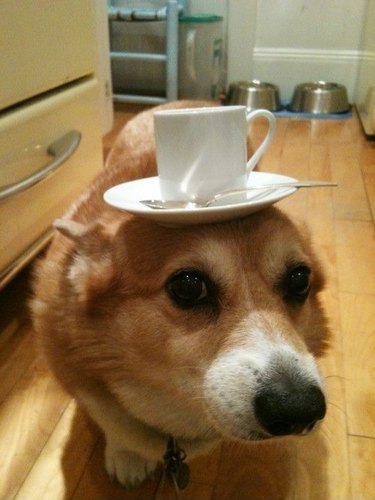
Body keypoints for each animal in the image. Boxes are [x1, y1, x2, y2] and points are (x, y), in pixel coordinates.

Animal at [31, 100, 328, 488]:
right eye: (188, 286)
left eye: (299, 279)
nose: (300, 408)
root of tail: (188, 103)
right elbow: (115, 428)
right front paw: (126, 457)